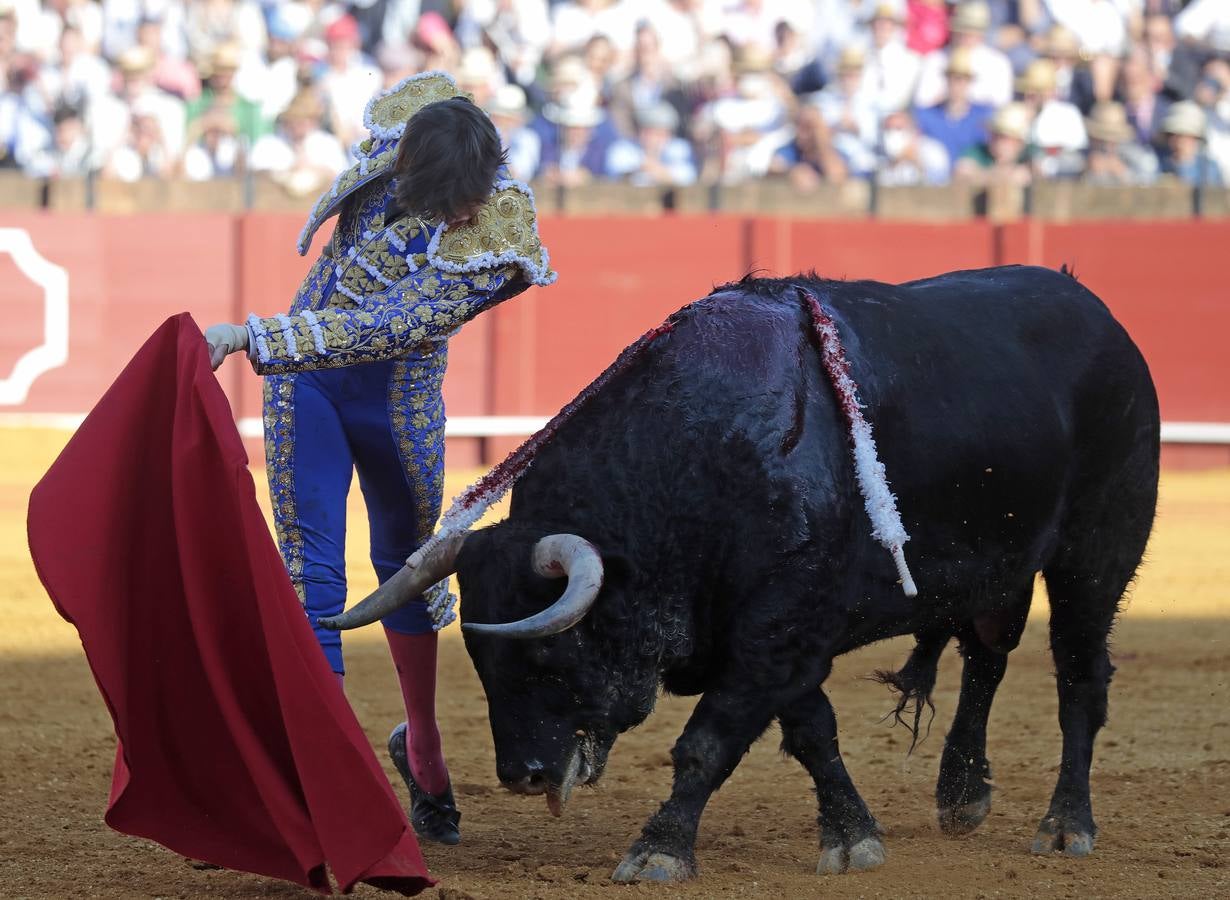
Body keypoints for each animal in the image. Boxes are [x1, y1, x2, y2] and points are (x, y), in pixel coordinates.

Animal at [322, 263, 1156, 880]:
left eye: (551, 653)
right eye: (480, 661)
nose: (522, 773)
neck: (696, 459)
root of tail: (1098, 312)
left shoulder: (774, 633)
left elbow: (707, 741)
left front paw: (658, 850)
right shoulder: (780, 640)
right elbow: (813, 732)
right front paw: (853, 835)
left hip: (1094, 556)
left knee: (1080, 678)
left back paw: (1065, 825)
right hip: (1000, 571)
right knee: (986, 658)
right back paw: (962, 796)